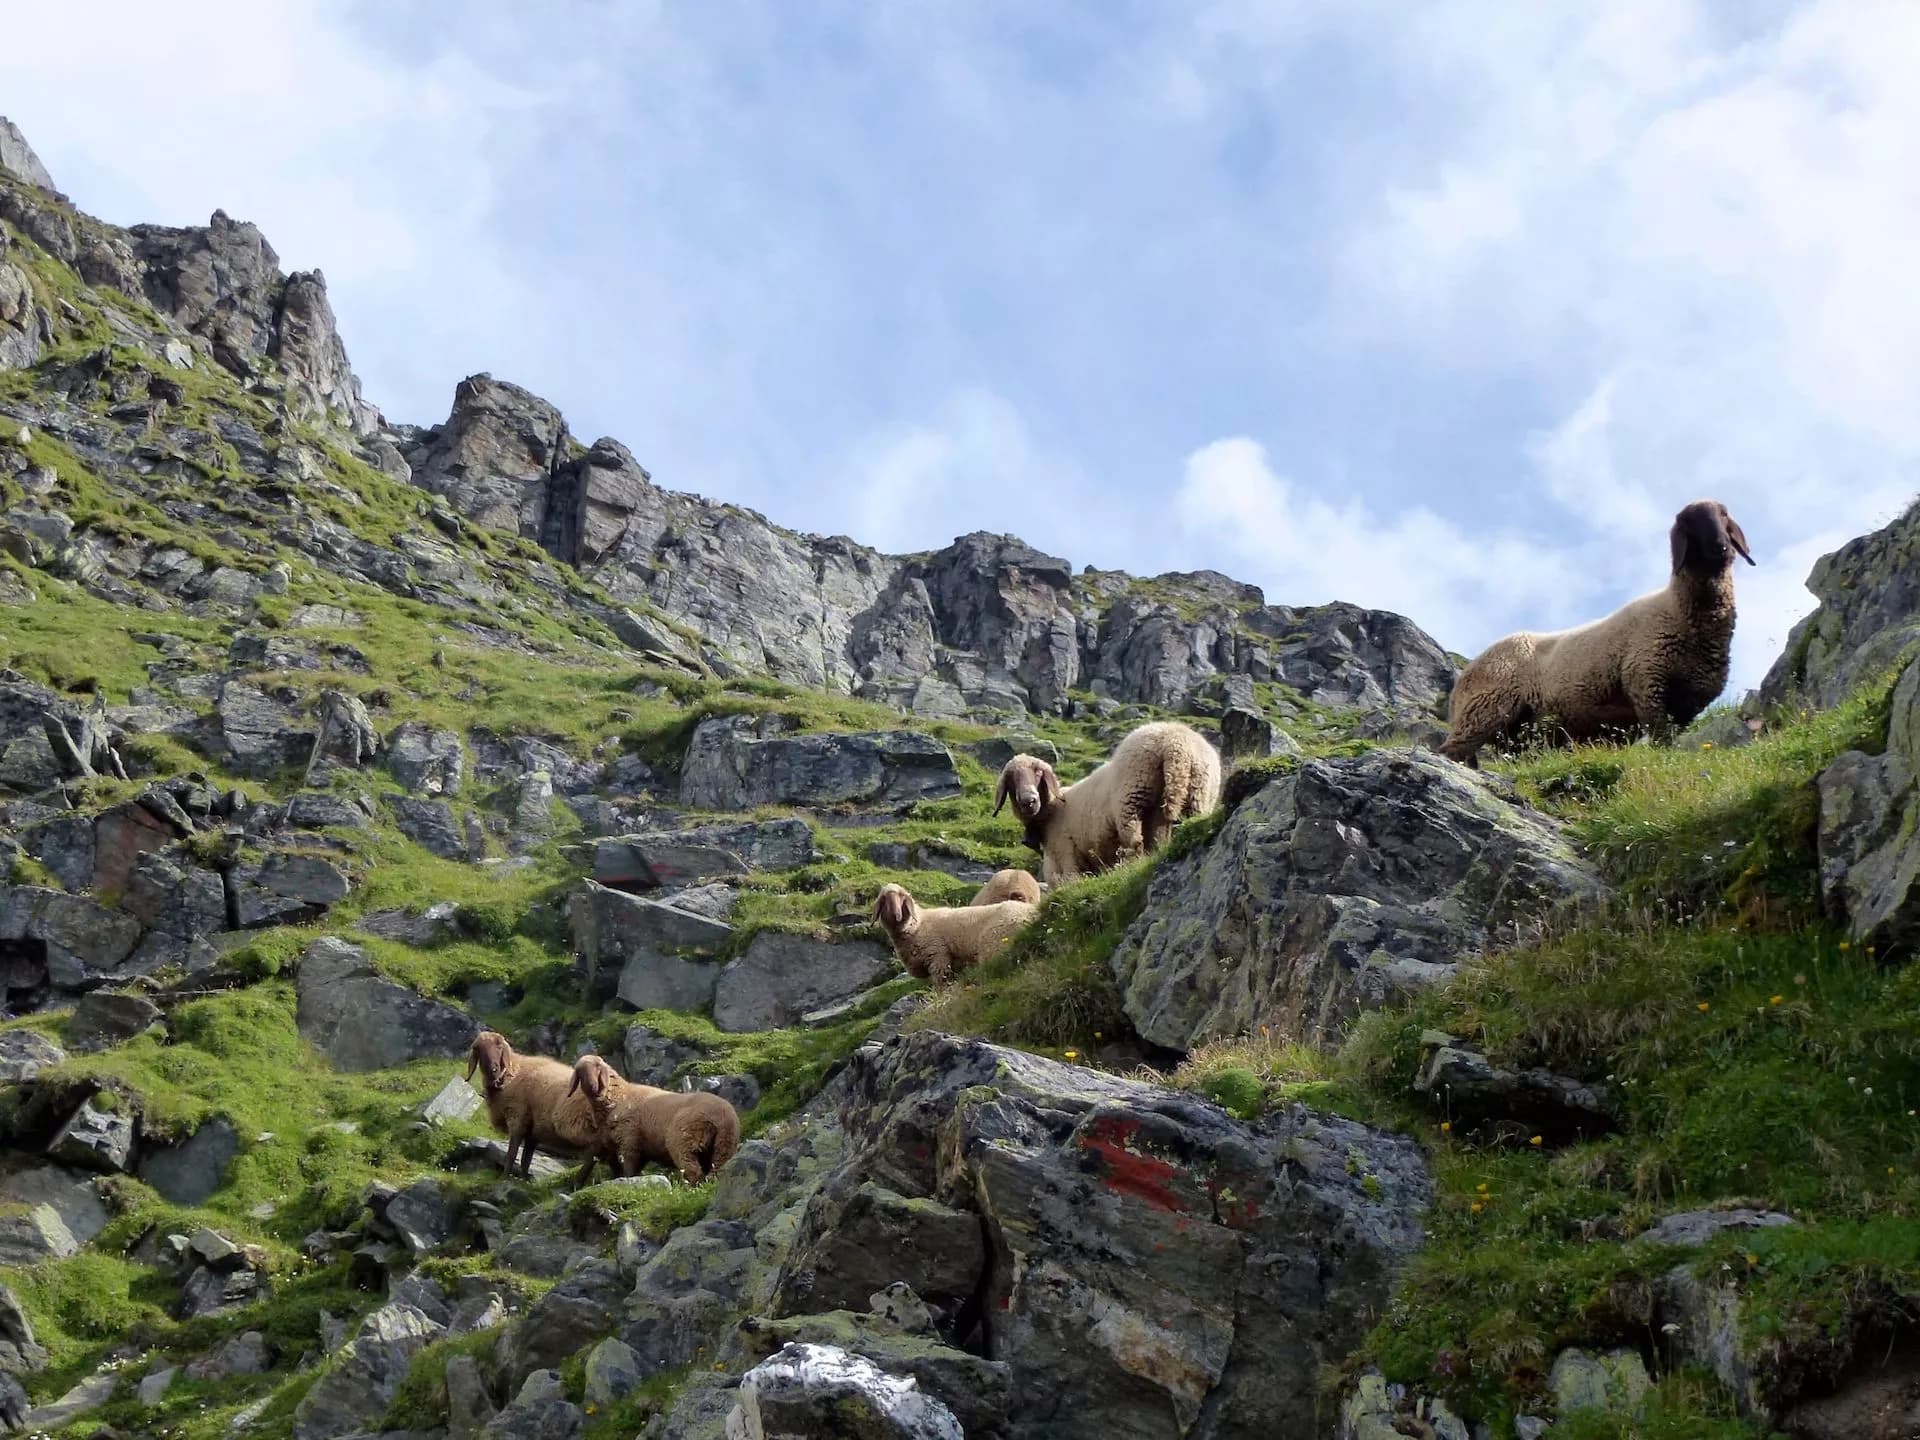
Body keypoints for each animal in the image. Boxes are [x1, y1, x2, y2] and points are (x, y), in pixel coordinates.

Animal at [465, 1030, 609, 1182]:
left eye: (499, 1046)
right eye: (478, 1049)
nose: (493, 1068)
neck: (512, 1072)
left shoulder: (518, 1118)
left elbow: (512, 1153)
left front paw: (504, 1177)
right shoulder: (532, 1131)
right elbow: (526, 1159)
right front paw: (523, 1179)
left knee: (591, 1158)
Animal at [567, 1053, 741, 1185]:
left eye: (598, 1068)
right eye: (580, 1072)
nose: (592, 1087)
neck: (617, 1096)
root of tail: (723, 1116)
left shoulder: (629, 1140)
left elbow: (628, 1169)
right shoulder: (612, 1145)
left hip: (683, 1141)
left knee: (693, 1169)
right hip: (723, 1145)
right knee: (715, 1169)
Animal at [873, 882, 1036, 985]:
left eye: (901, 897)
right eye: (884, 899)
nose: (896, 914)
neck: (917, 925)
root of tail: (1032, 913)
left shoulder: (938, 958)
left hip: (994, 946)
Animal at [993, 720, 1222, 885]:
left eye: (1038, 773)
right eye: (1011, 779)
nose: (1029, 801)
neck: (1052, 810)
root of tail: (1176, 743)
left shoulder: (1066, 855)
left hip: (1131, 799)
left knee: (1135, 841)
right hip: (1198, 795)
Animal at [1439, 499, 1755, 767]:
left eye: (1724, 515)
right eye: (1689, 522)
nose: (1720, 546)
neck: (1678, 612)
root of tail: (1461, 684)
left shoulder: (1689, 703)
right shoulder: (1646, 681)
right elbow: (1660, 737)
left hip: (1516, 730)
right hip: (1485, 709)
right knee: (1452, 750)